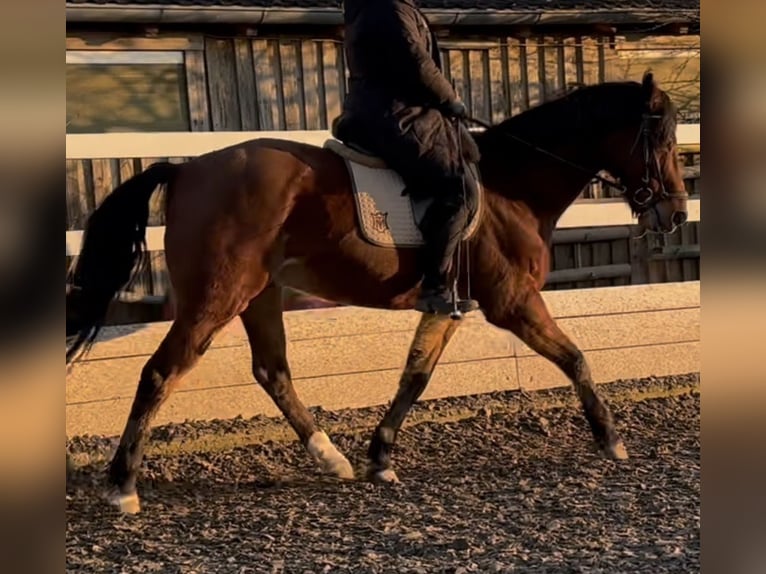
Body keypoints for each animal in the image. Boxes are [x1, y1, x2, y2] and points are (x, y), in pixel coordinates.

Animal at [66, 72, 688, 514]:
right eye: (660, 141)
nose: (676, 214)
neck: (512, 185)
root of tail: (187, 167)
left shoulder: (449, 306)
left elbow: (415, 377)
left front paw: (380, 456)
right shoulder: (513, 303)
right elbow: (576, 358)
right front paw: (611, 439)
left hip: (258, 294)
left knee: (272, 371)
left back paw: (331, 458)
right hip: (217, 297)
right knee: (161, 372)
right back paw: (122, 487)